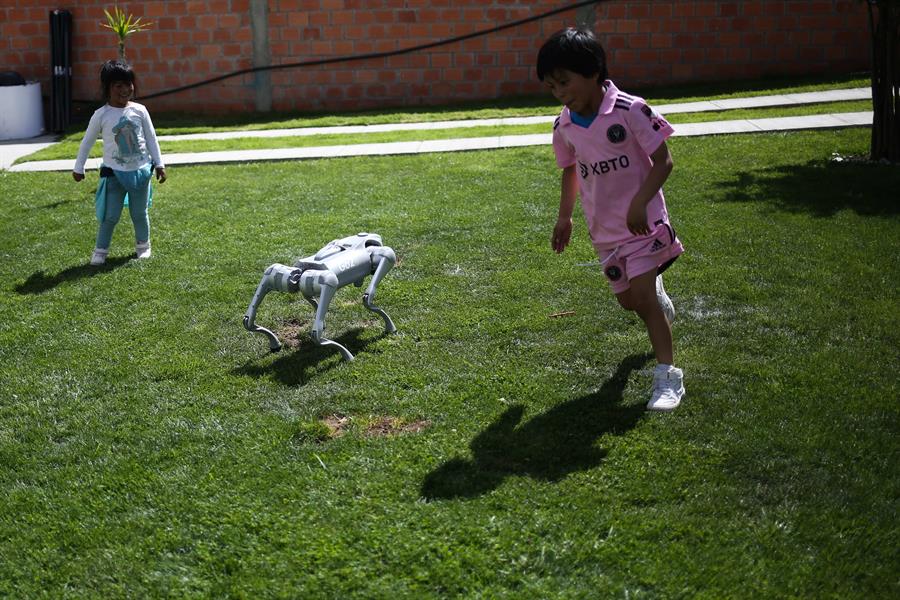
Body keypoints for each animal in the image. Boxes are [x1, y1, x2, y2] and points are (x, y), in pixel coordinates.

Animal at [246, 232, 400, 358]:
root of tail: (300, 275)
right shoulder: (382, 255)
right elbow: (369, 295)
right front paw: (390, 327)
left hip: (281, 276)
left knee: (248, 320)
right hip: (328, 279)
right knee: (317, 333)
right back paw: (347, 356)